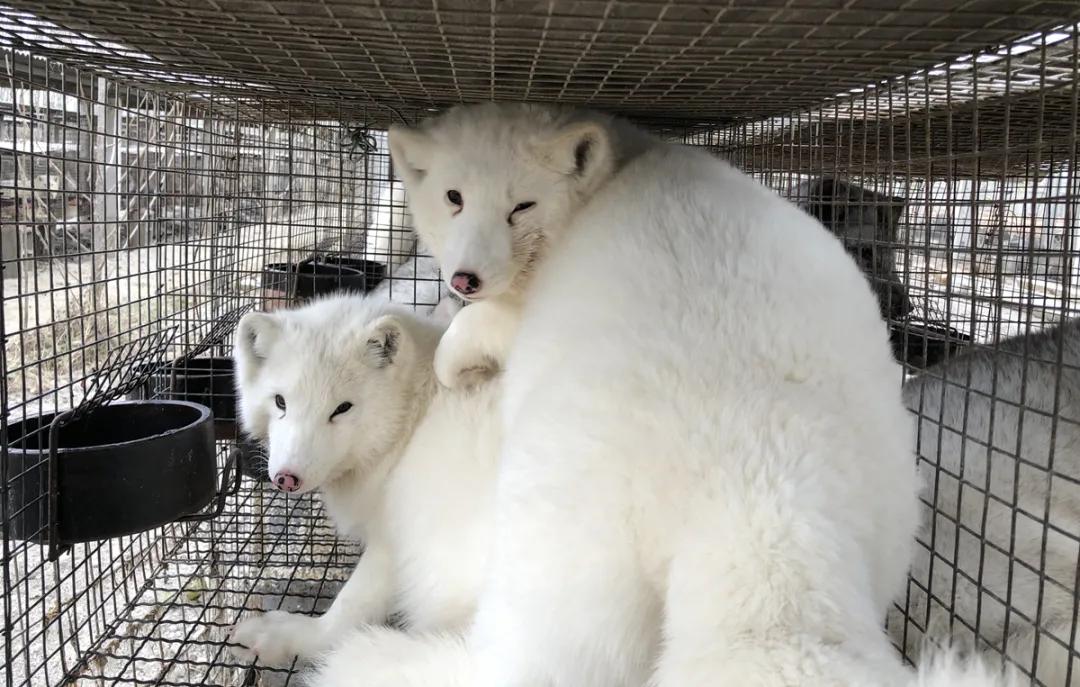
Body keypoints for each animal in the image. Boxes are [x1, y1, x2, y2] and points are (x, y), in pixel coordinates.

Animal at [230, 293, 498, 665]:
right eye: (280, 401)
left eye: (342, 408)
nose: (286, 478)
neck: (409, 422)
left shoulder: (393, 542)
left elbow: (349, 609)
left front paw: (296, 636)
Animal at [308, 103, 1015, 687]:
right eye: (453, 197)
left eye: (521, 207)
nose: (464, 278)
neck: (621, 164)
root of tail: (761, 508)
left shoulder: (513, 316)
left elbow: (463, 335)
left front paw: (455, 362)